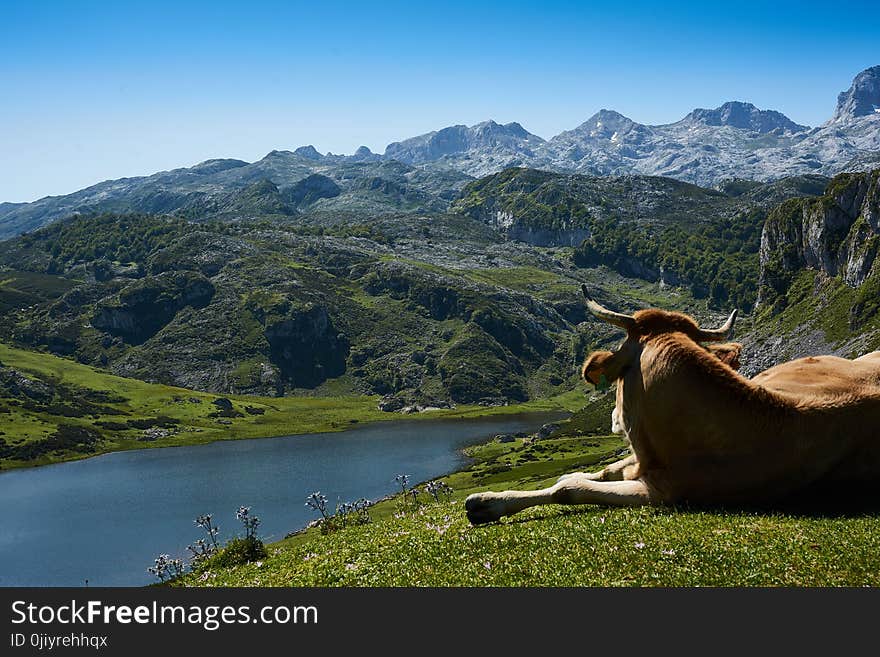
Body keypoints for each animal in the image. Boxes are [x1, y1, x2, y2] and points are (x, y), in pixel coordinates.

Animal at [464, 288, 876, 524]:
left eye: (618, 376)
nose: (613, 420)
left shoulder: (660, 493)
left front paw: (487, 502)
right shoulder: (637, 463)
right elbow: (588, 473)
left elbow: (569, 487)